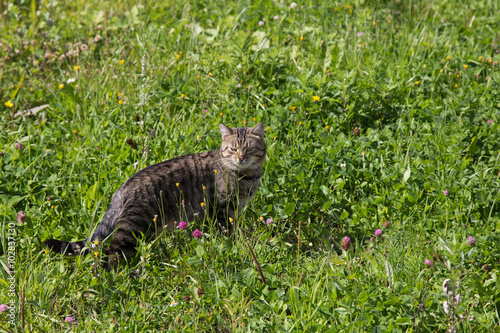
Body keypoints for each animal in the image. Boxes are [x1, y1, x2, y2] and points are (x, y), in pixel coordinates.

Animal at [45, 122, 268, 268]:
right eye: (233, 149)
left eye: (249, 149)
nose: (241, 158)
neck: (247, 176)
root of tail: (121, 189)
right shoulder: (222, 209)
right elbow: (227, 234)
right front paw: (232, 246)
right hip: (132, 229)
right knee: (111, 253)